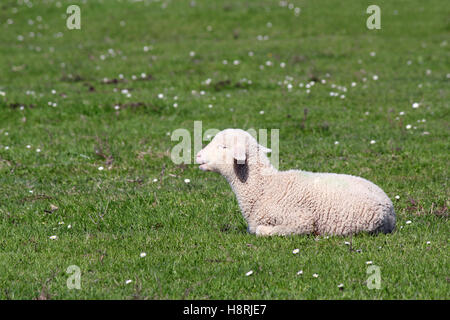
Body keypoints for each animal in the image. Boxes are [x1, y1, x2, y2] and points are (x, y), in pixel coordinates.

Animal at [195, 129, 396, 236]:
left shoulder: (301, 221)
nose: (197, 155)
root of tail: (390, 209)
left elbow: (260, 230)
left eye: (223, 147)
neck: (264, 187)